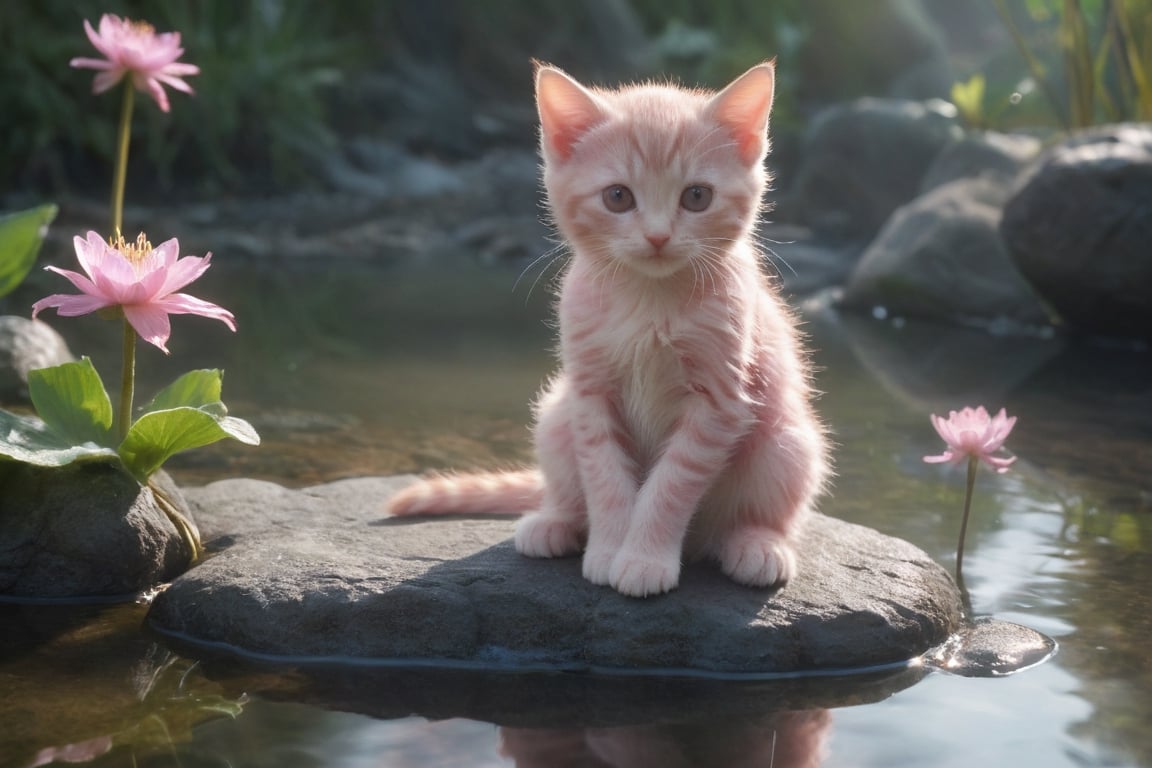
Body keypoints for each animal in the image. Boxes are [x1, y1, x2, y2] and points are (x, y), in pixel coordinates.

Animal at [387, 61, 829, 598]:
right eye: (618, 197)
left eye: (697, 196)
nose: (658, 236)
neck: (649, 300)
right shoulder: (590, 392)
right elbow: (604, 477)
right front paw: (608, 550)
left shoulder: (720, 400)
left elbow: (672, 483)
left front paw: (643, 559)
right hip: (557, 416)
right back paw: (554, 522)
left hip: (788, 442)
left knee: (764, 511)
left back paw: (757, 544)